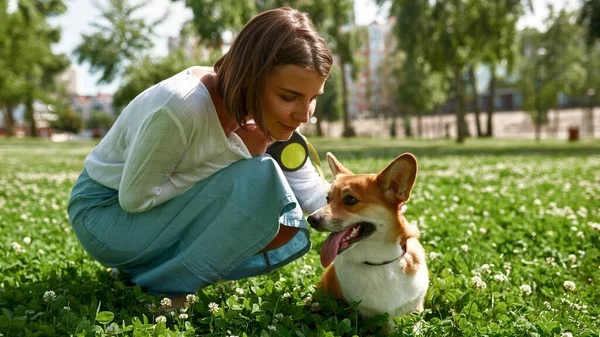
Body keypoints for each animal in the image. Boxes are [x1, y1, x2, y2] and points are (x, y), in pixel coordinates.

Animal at [308, 152, 428, 330]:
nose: (311, 219)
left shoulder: (416, 310)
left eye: (350, 200)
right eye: (327, 199)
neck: (379, 262)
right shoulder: (369, 317)